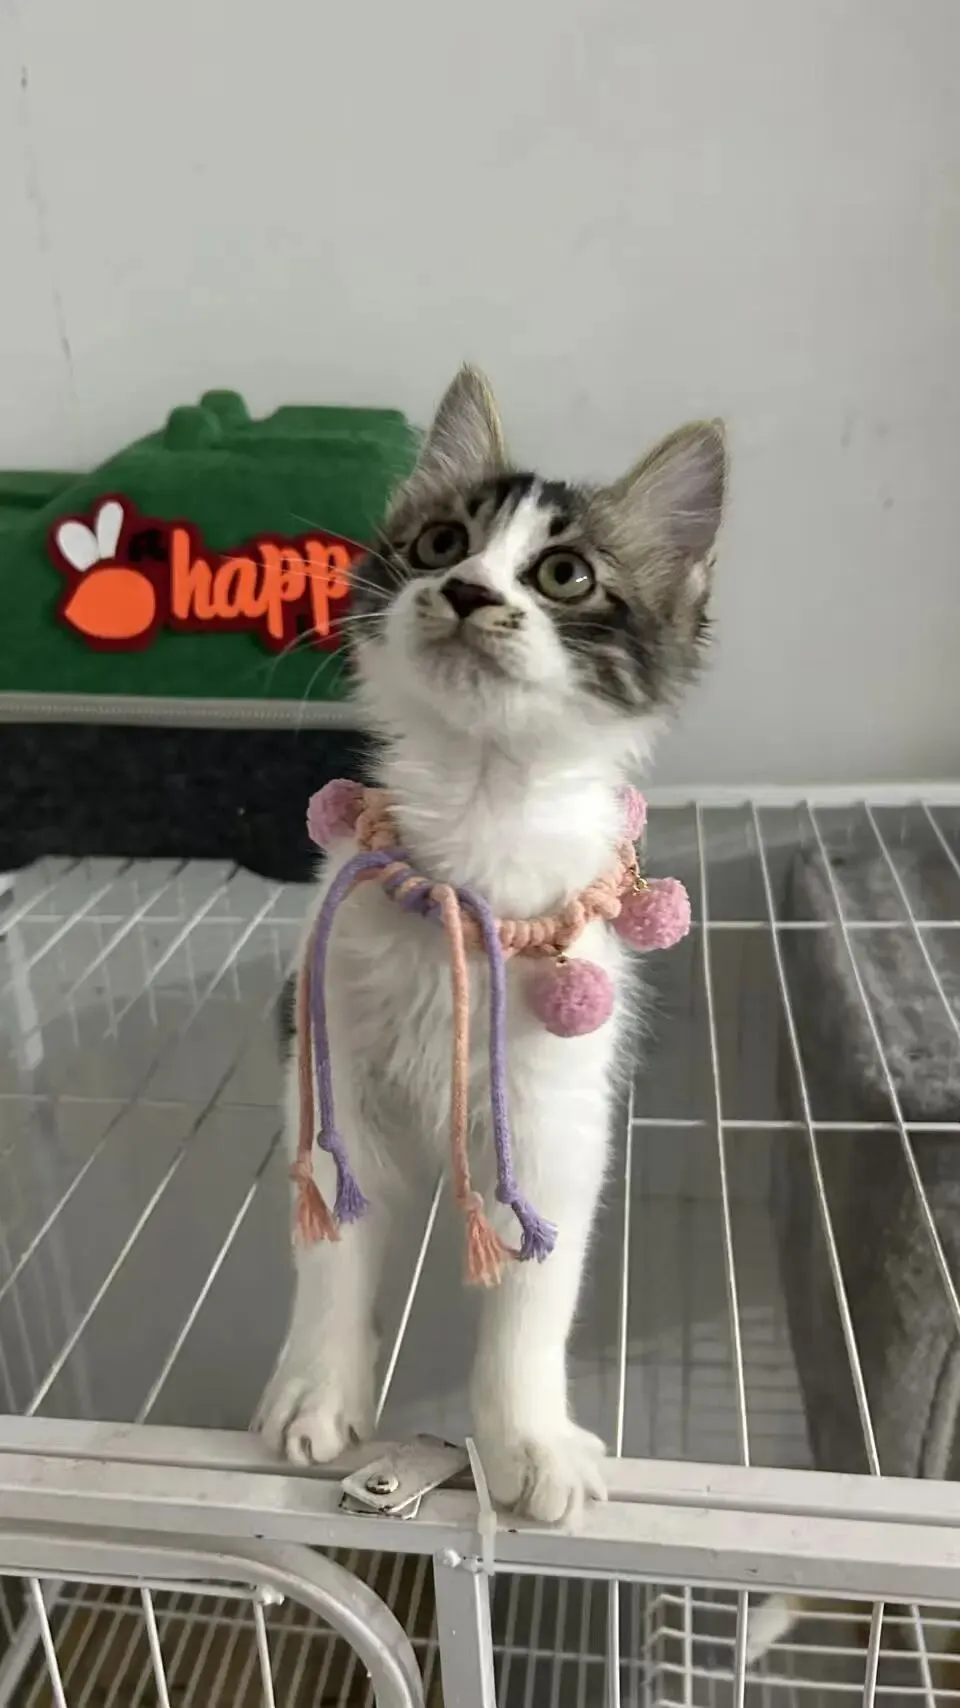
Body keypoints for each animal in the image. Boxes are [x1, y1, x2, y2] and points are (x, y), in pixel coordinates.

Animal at [255, 366, 726, 1524]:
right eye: (439, 543)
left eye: (565, 573)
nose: (467, 591)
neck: (479, 814)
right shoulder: (331, 1069)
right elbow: (331, 1246)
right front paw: (316, 1388)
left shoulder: (555, 1119)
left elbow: (533, 1296)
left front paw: (528, 1443)